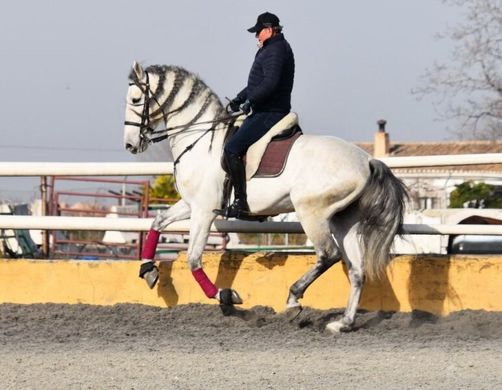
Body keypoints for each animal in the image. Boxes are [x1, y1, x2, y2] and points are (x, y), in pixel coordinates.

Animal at [124, 60, 408, 332]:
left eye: (136, 99)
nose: (130, 144)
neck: (200, 141)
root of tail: (367, 160)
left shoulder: (204, 210)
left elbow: (193, 260)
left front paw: (226, 295)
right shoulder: (190, 204)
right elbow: (158, 222)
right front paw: (148, 270)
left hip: (311, 213)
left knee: (328, 255)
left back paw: (293, 301)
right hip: (344, 221)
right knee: (356, 270)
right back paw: (343, 323)